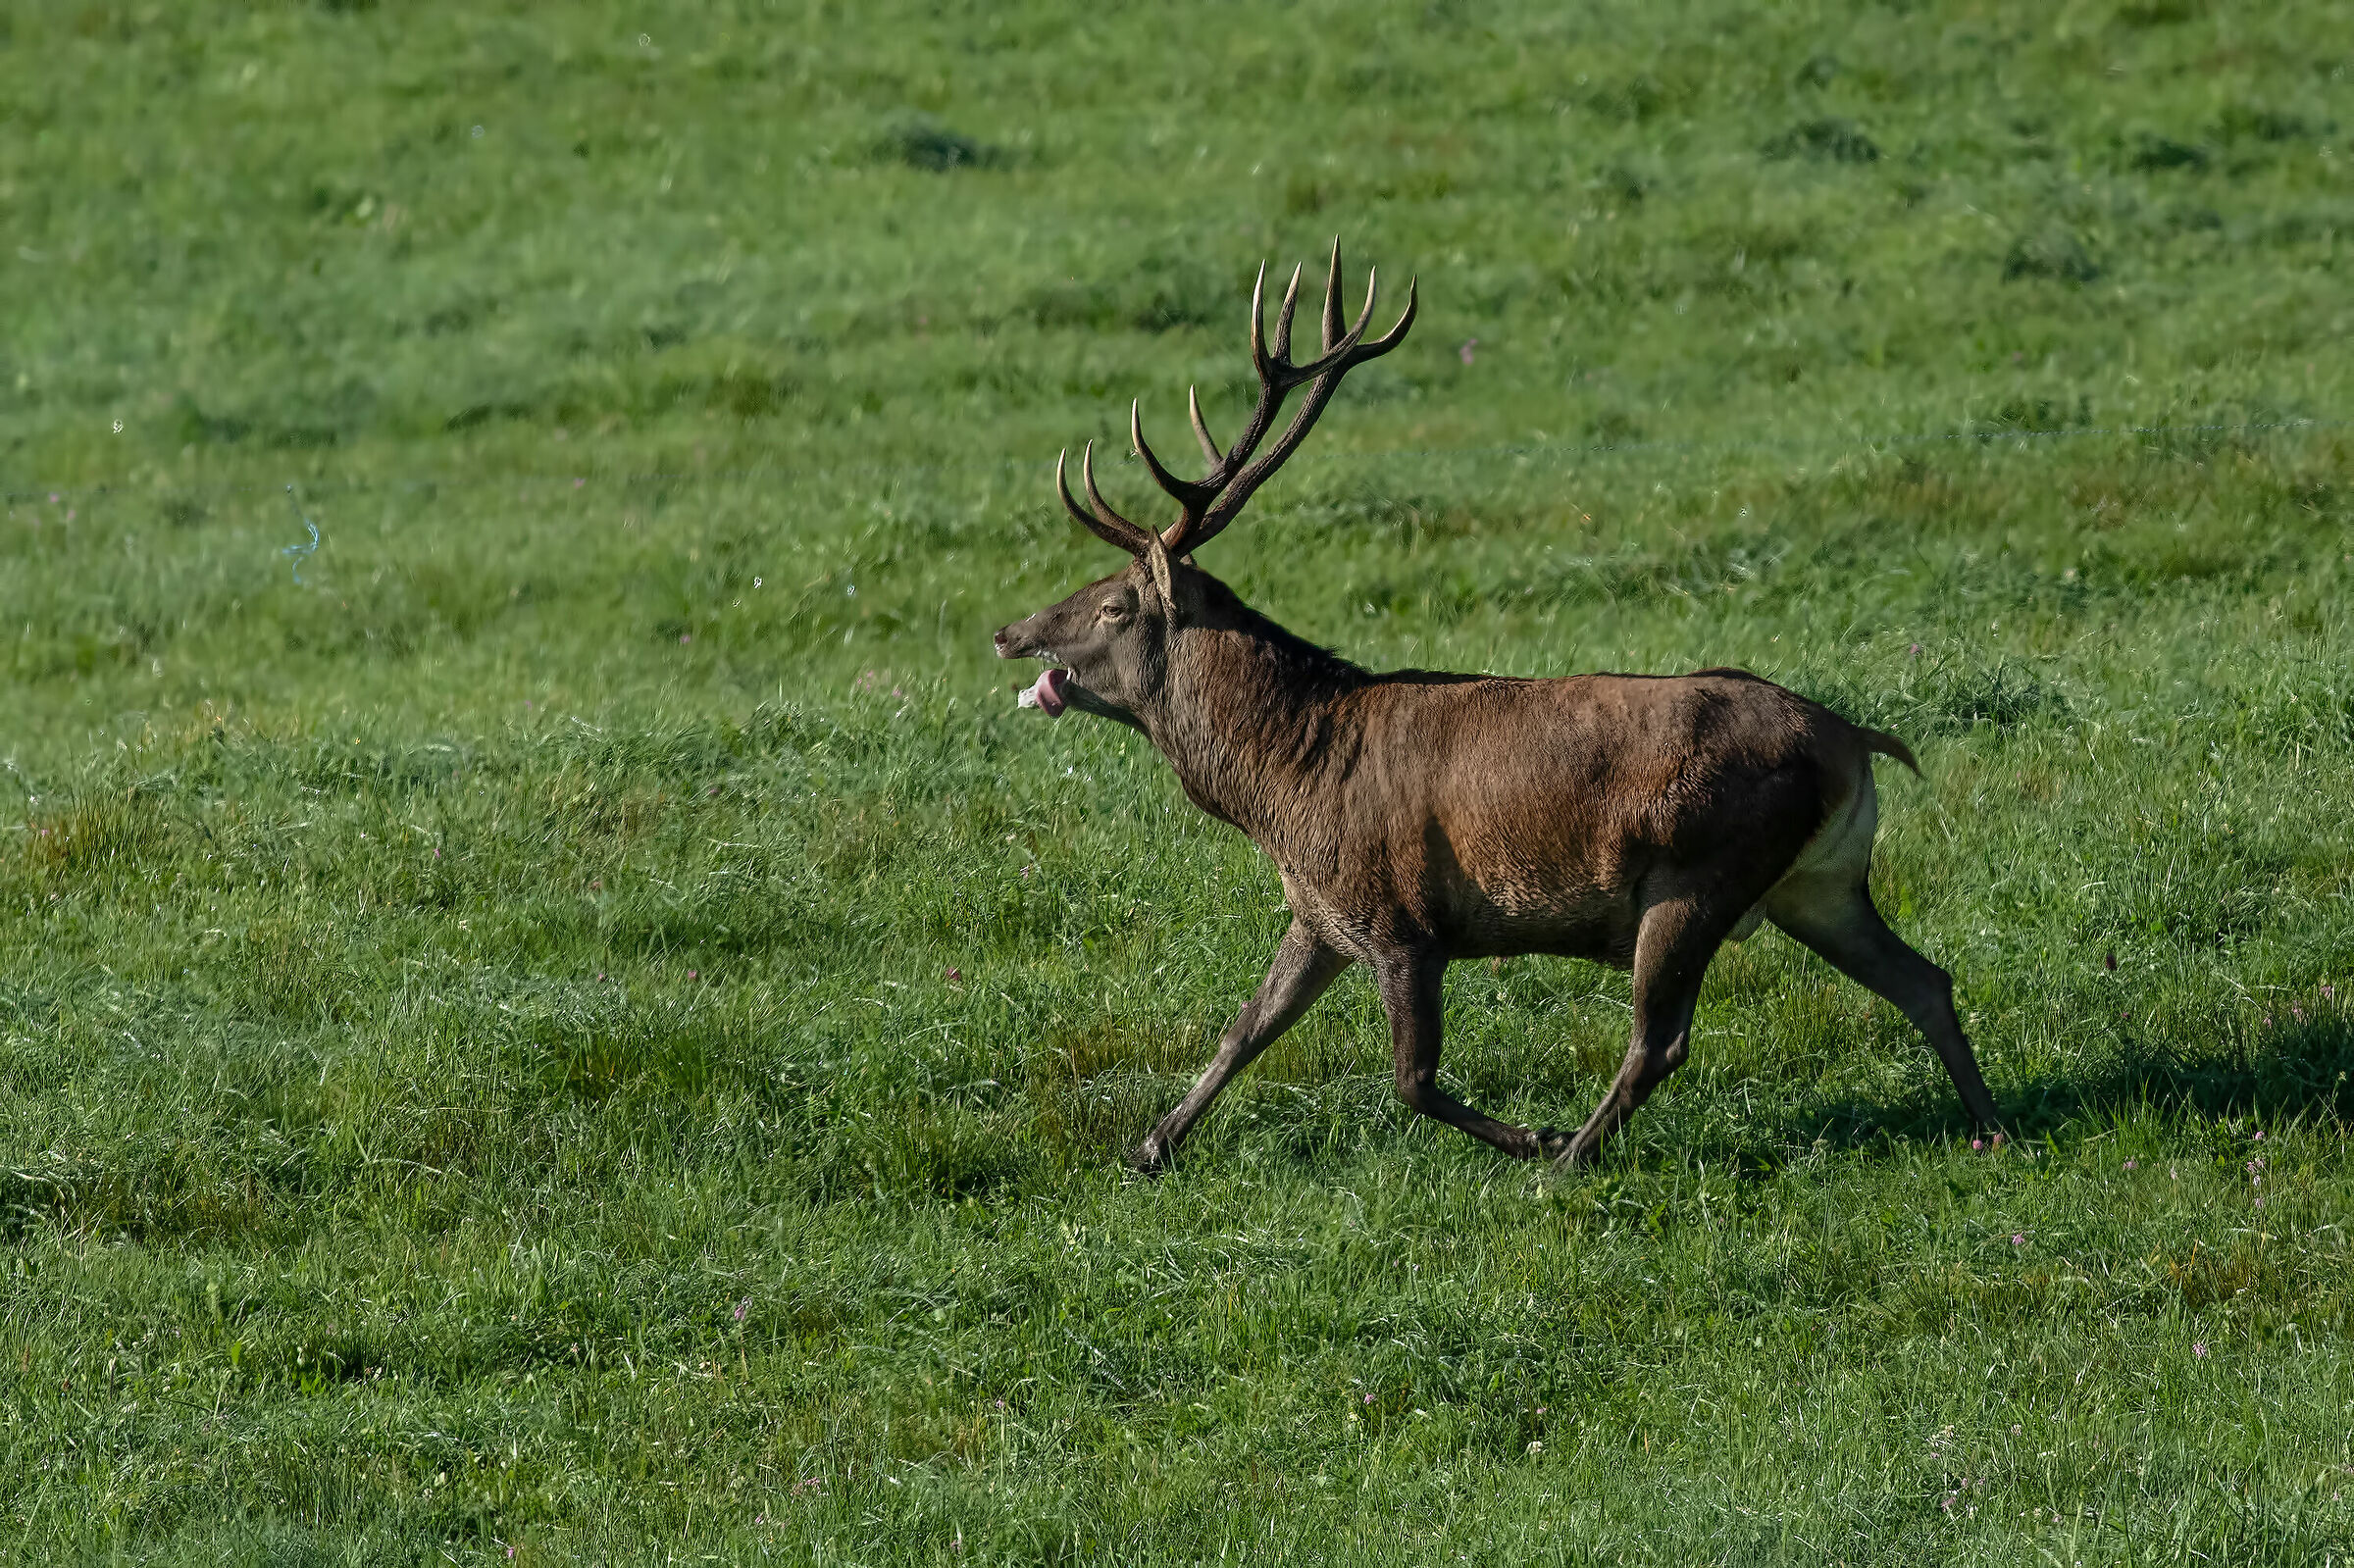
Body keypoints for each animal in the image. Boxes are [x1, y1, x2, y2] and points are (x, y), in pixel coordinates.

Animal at [992, 243, 2005, 1172]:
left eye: (1113, 605)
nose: (1009, 632)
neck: (1281, 786)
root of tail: (1856, 743)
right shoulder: (1320, 913)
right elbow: (1243, 1029)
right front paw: (1152, 1143)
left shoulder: (1401, 918)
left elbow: (1411, 1079)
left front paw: (1532, 1133)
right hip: (1818, 883)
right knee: (1925, 979)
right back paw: (1992, 1122)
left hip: (1696, 873)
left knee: (1660, 1038)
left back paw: (1570, 1158)